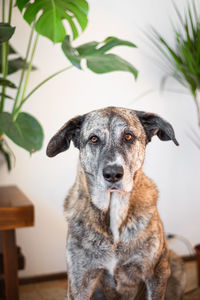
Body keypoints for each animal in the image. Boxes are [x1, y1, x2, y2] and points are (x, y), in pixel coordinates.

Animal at [47, 106, 181, 298]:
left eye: (128, 136)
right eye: (93, 139)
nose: (112, 174)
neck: (113, 212)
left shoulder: (157, 273)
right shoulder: (79, 283)